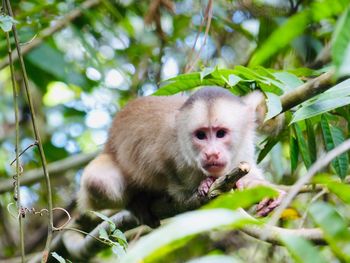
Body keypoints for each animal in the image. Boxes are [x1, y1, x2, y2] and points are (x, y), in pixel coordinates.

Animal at [78, 86, 286, 227]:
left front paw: (263, 191)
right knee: (98, 183)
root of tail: (108, 142)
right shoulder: (171, 152)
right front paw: (207, 183)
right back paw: (136, 203)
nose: (211, 153)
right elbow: (181, 192)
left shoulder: (244, 144)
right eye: (201, 135)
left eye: (220, 134)